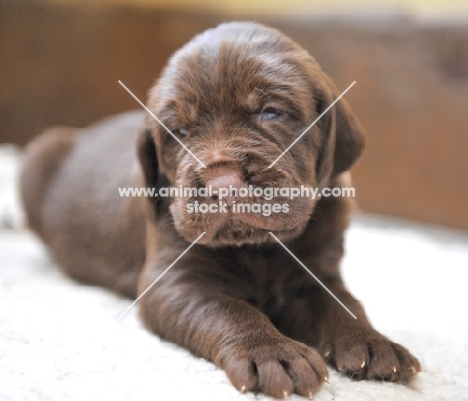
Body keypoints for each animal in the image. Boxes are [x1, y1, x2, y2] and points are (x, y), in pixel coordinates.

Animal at [20, 23, 420, 398]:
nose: (222, 181)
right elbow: (227, 308)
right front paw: (272, 353)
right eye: (179, 131)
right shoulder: (173, 282)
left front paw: (373, 342)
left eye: (271, 112)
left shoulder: (316, 273)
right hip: (39, 154)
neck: (257, 247)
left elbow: (343, 303)